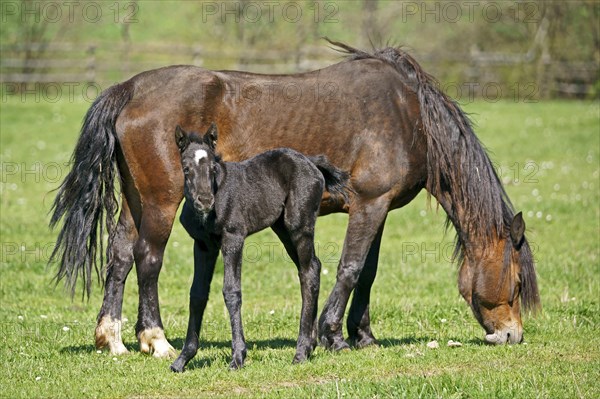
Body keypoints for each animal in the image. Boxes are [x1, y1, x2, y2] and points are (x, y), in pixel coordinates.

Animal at [169, 124, 350, 372]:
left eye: (213, 167)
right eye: (186, 168)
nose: (205, 201)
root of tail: (311, 162)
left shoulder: (233, 238)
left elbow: (231, 291)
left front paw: (238, 357)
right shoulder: (203, 245)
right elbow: (197, 294)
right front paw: (183, 359)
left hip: (298, 225)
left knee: (309, 272)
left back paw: (301, 351)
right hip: (282, 228)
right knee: (313, 266)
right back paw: (310, 346)